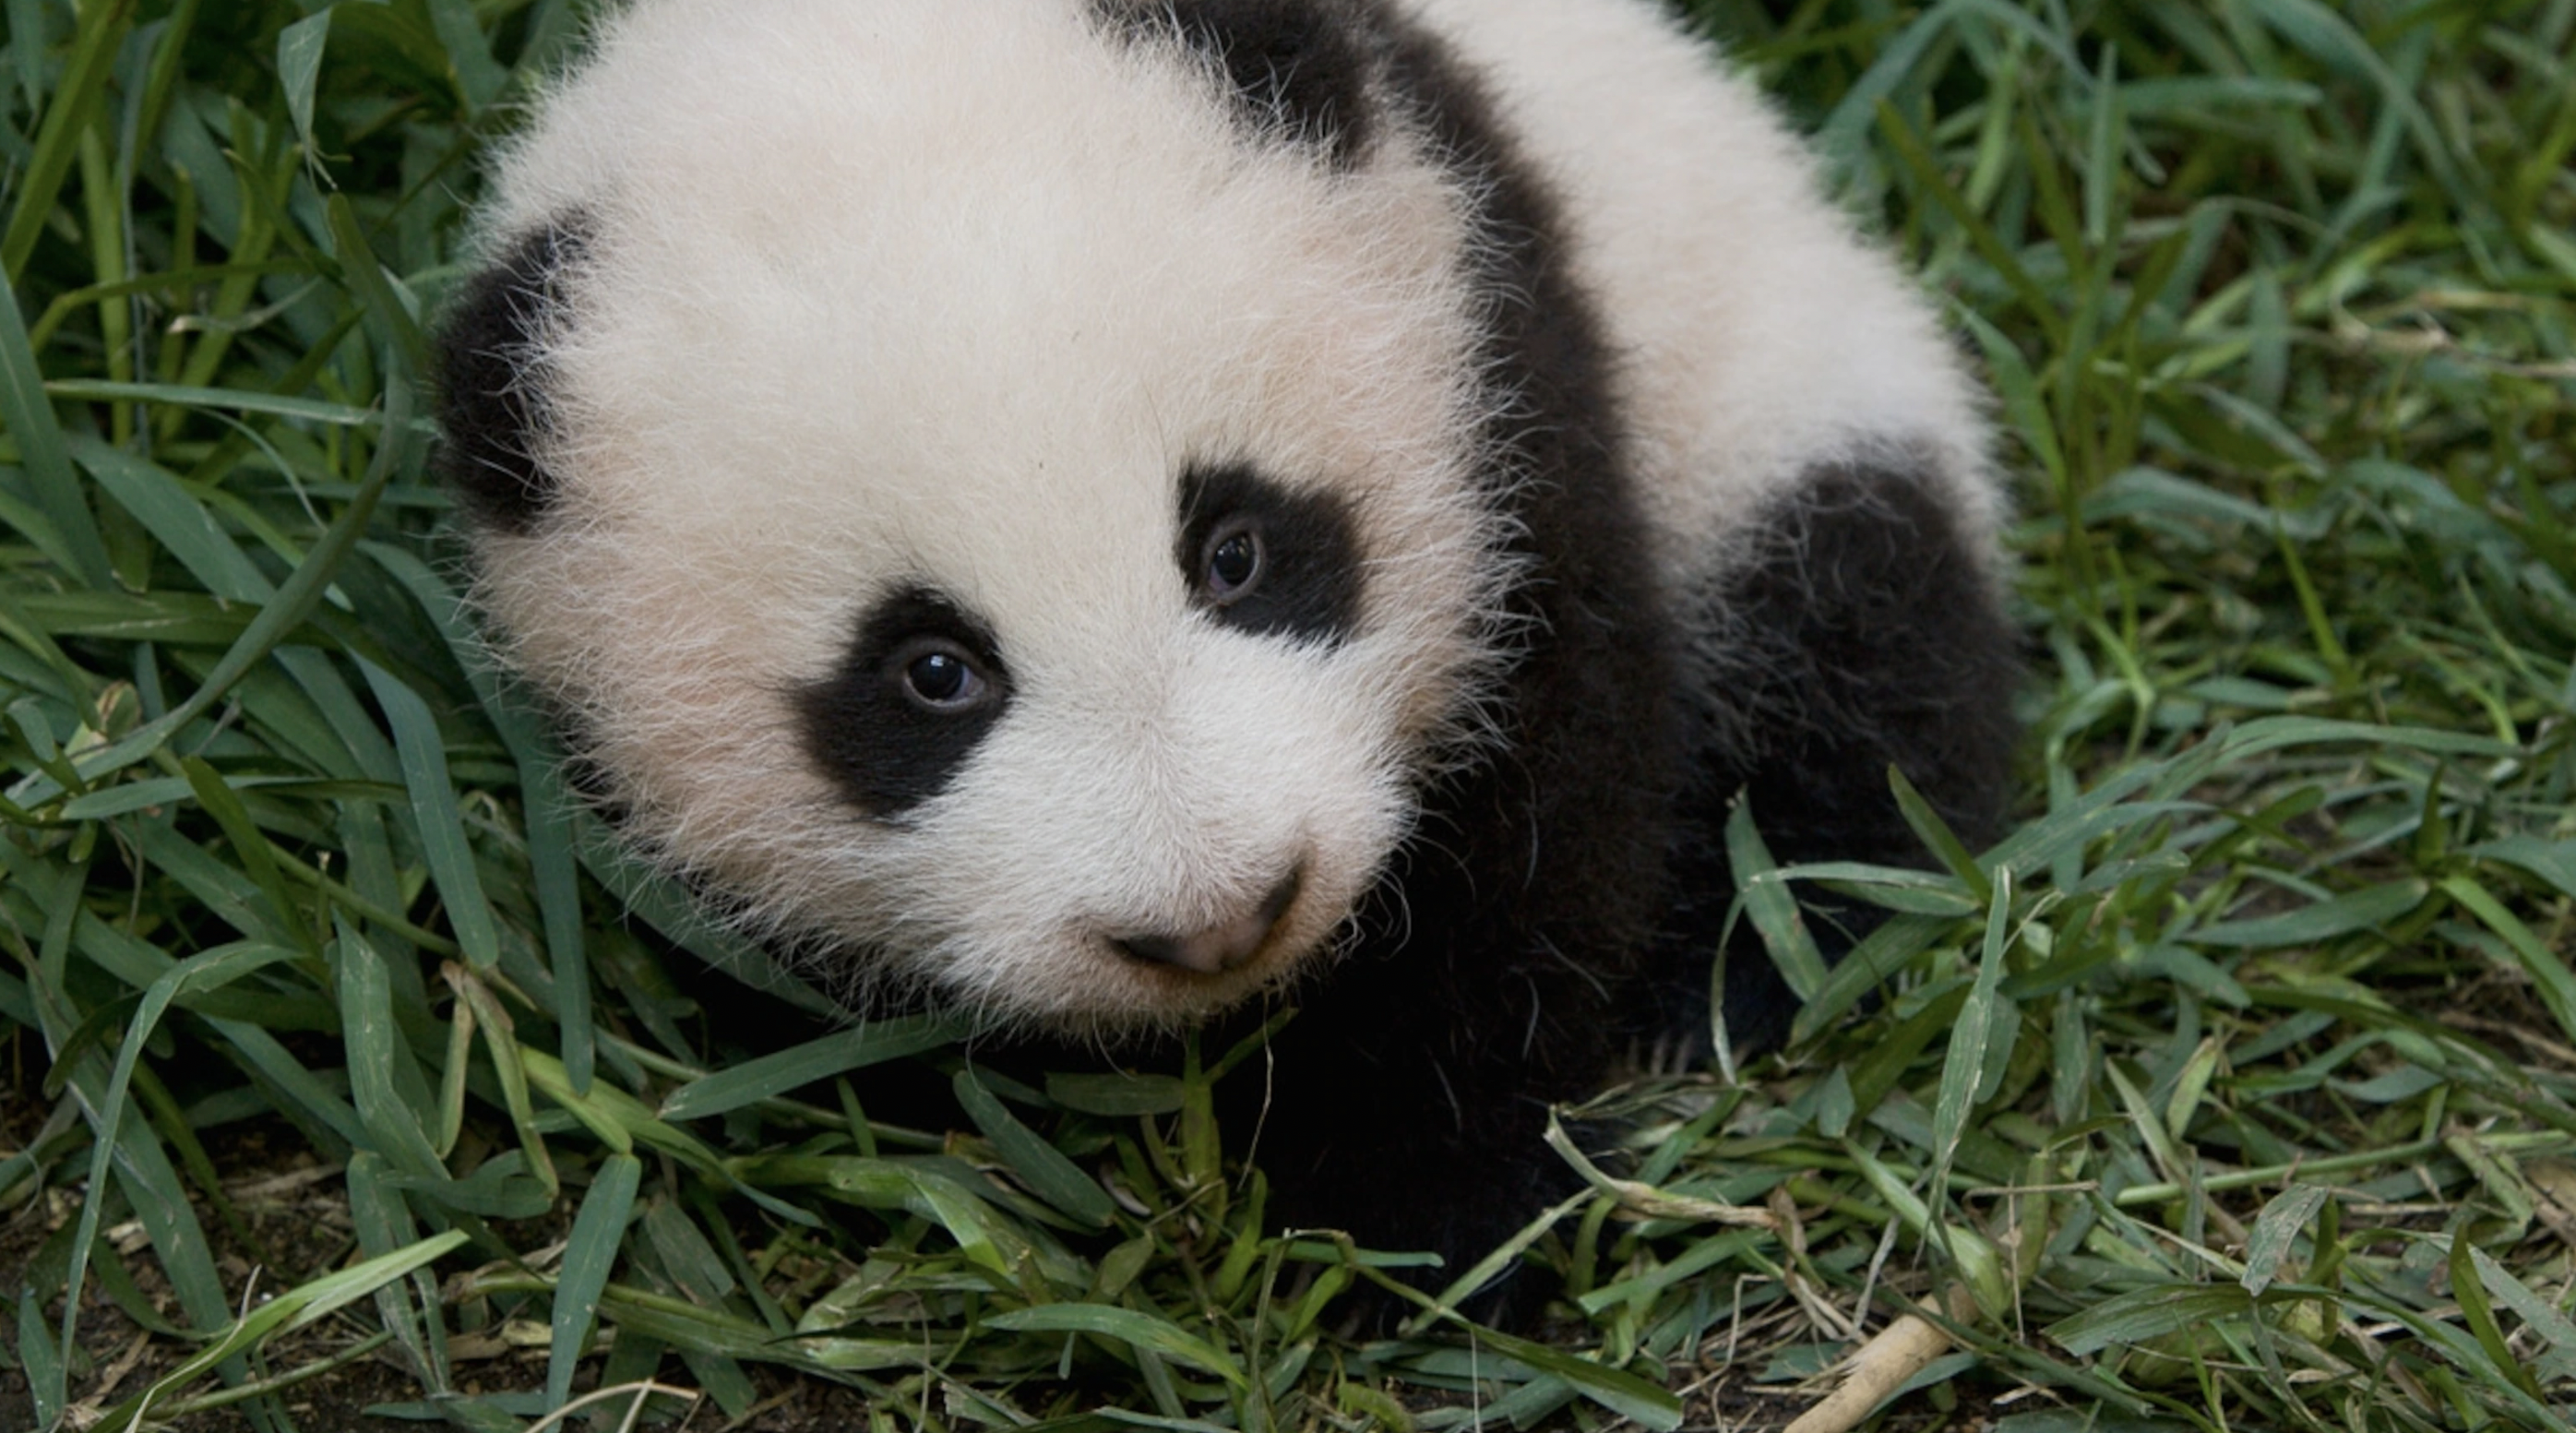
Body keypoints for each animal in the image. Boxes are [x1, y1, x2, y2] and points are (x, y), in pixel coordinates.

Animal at [436, 0, 2020, 1306]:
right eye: (931, 674)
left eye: (1237, 550)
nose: (1220, 918)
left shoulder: (1490, 345)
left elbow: (1542, 802)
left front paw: (1429, 1213)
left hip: (1769, 377)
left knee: (1855, 632)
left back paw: (1762, 952)